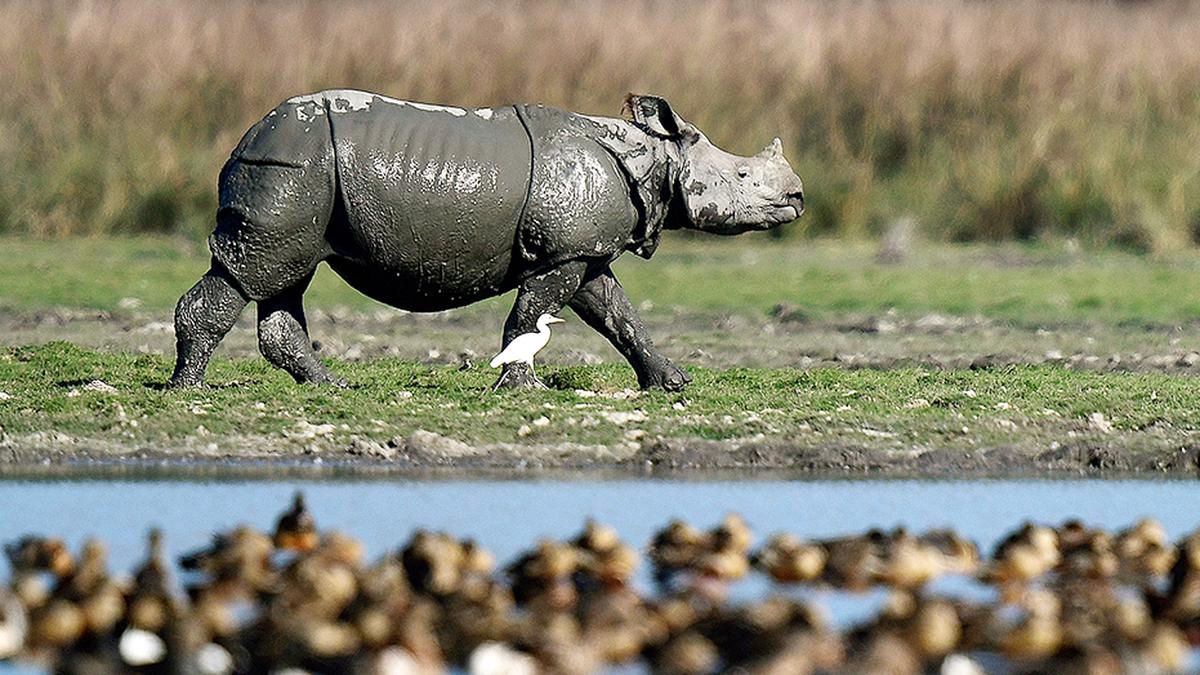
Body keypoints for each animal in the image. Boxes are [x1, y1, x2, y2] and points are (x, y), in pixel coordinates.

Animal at [168, 90, 804, 391]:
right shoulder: (562, 255)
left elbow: (619, 315)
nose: (798, 198)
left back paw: (331, 386)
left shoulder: (583, 250)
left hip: (302, 174)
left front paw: (671, 384)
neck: (655, 156)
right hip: (294, 166)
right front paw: (523, 386)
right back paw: (187, 389)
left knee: (284, 276)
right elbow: (529, 318)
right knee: (250, 272)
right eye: (742, 176)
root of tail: (247, 135)